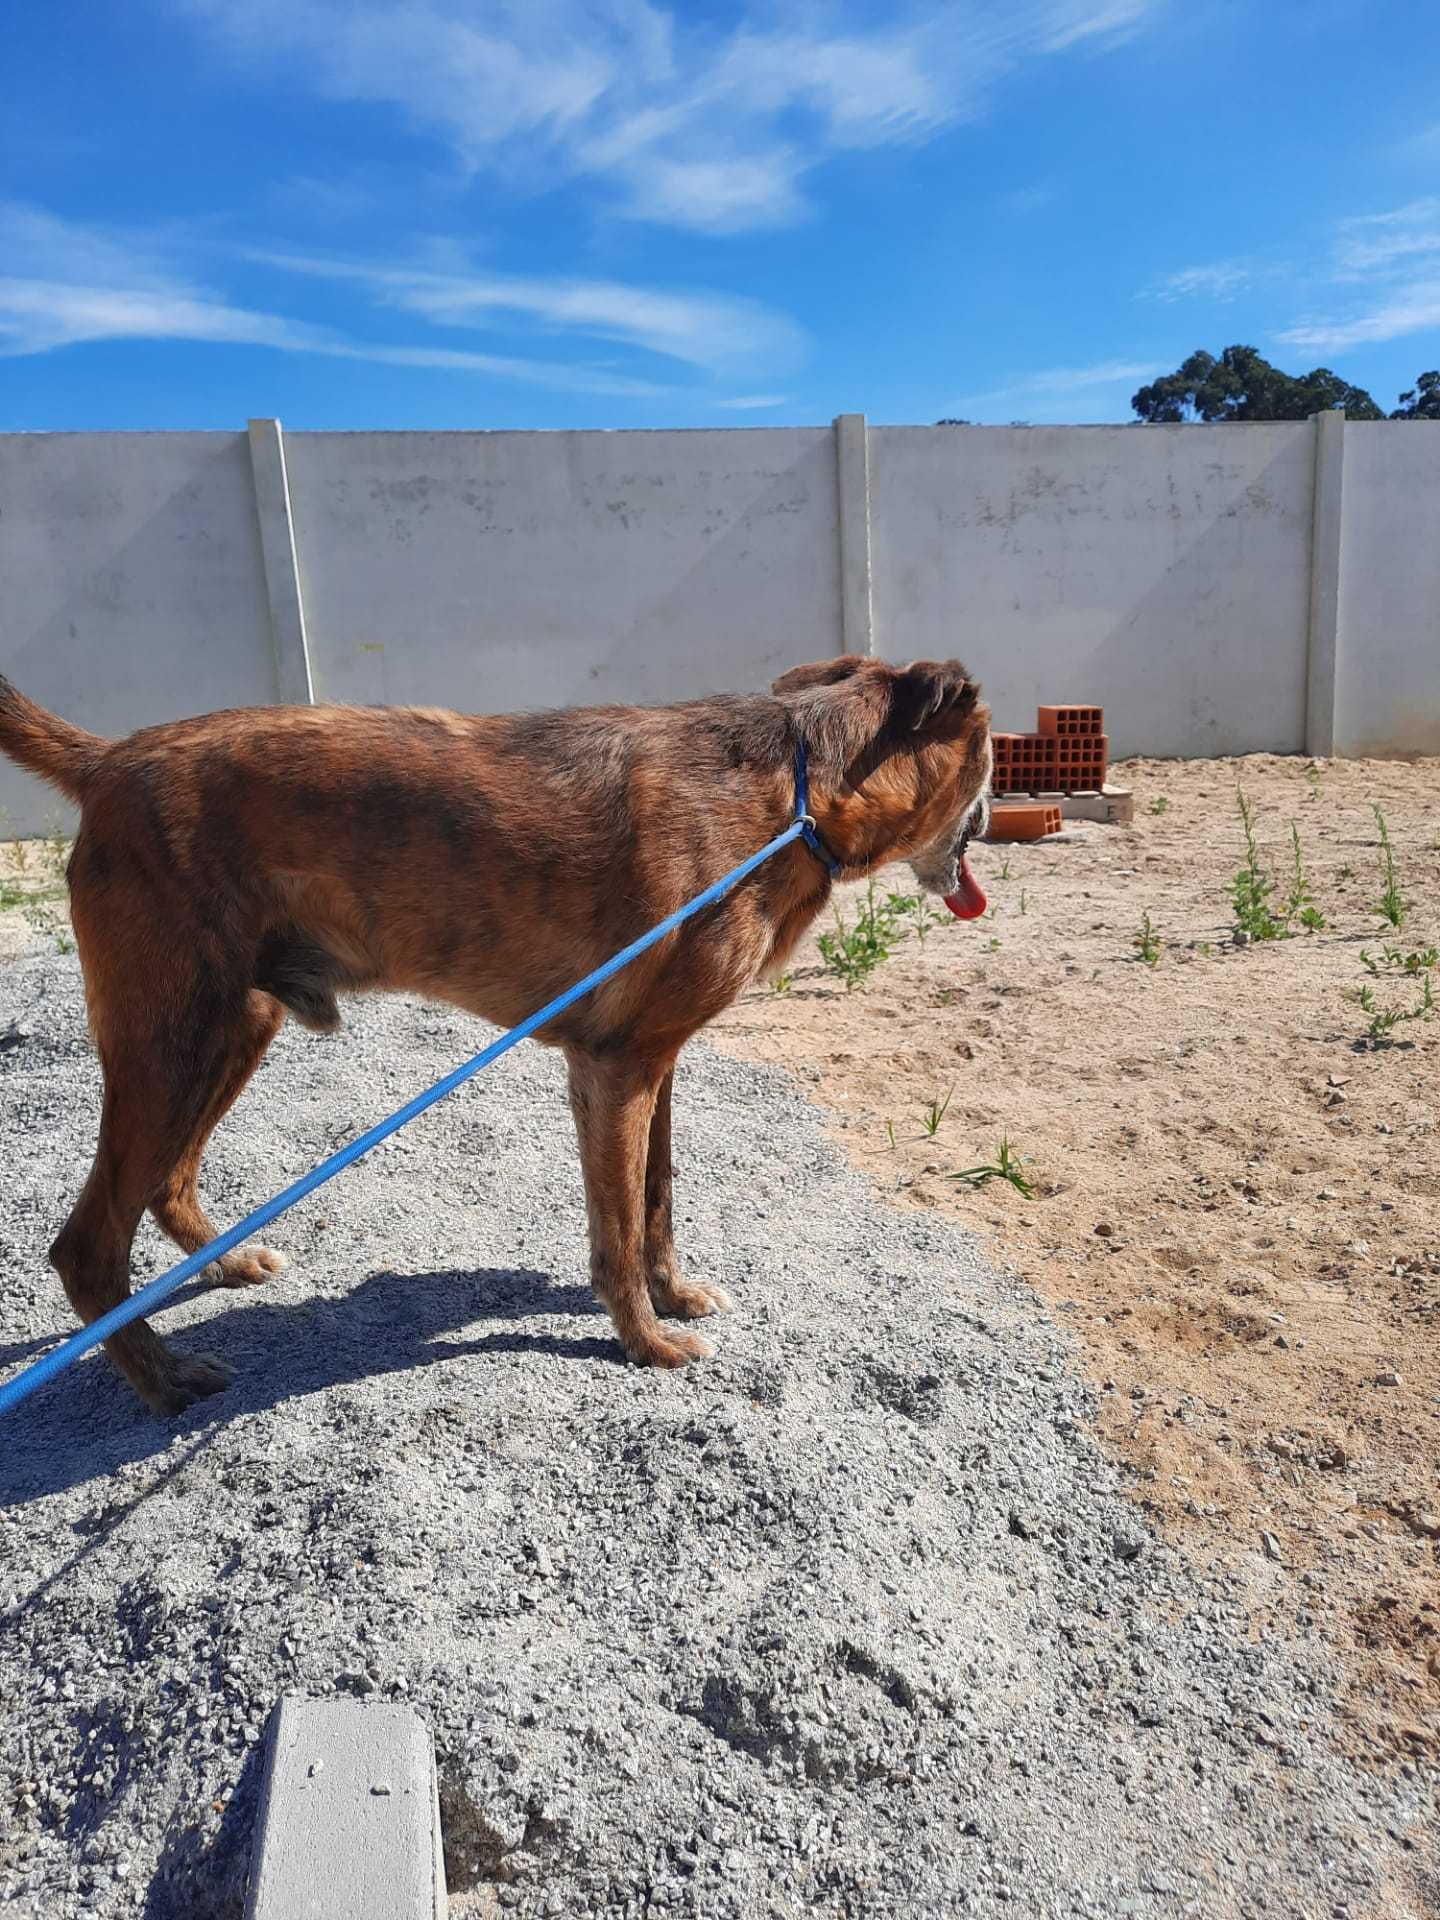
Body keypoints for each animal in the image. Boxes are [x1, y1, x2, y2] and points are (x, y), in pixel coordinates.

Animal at [0, 652, 990, 1420]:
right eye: (987, 752)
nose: (988, 818)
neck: (799, 785)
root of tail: (110, 760)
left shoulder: (654, 1066)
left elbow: (659, 1201)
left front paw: (673, 1296)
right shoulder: (616, 1071)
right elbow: (619, 1227)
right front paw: (645, 1341)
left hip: (233, 1027)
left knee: (168, 1180)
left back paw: (229, 1261)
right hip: (171, 1045)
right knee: (85, 1245)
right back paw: (163, 1381)